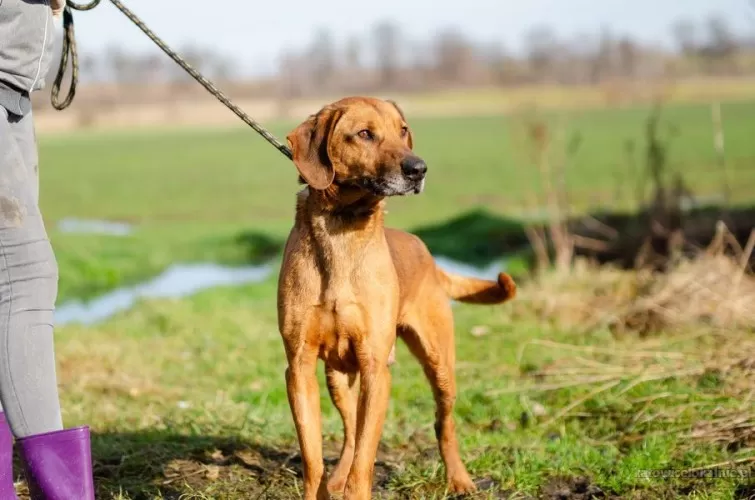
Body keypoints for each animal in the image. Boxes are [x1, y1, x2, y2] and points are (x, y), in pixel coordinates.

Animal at [280, 95, 520, 498]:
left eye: (403, 130)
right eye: (364, 134)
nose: (419, 169)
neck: (342, 227)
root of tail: (428, 254)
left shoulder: (376, 369)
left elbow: (365, 459)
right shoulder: (299, 367)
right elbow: (314, 457)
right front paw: (324, 486)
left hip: (439, 365)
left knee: (443, 424)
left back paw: (460, 479)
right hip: (337, 376)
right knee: (349, 431)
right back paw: (337, 478)